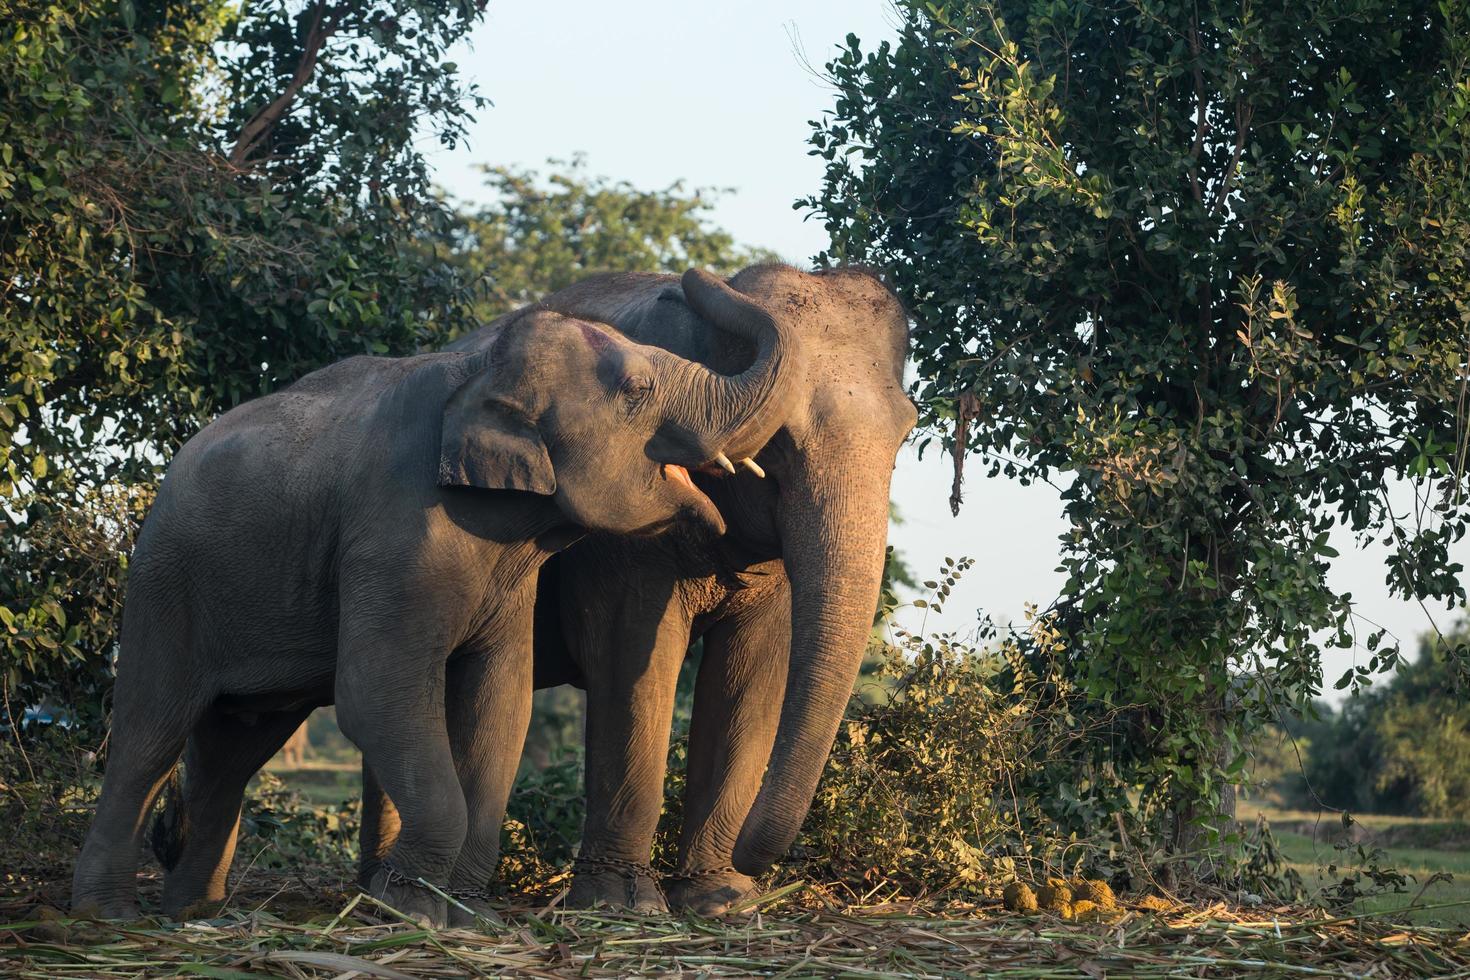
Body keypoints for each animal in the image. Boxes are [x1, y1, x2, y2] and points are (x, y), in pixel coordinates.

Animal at [73, 268, 799, 928]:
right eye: (637, 389)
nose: (692, 277)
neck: (475, 371)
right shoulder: (393, 532)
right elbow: (375, 689)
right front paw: (412, 911)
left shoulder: (509, 575)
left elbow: (499, 699)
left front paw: (464, 917)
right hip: (166, 583)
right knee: (149, 732)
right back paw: (110, 918)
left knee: (233, 748)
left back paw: (195, 913)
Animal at [360, 264, 911, 916]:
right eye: (774, 445)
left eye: (906, 434)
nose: (697, 276)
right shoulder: (617, 530)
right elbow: (628, 657)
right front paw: (624, 904)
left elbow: (753, 673)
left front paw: (721, 900)